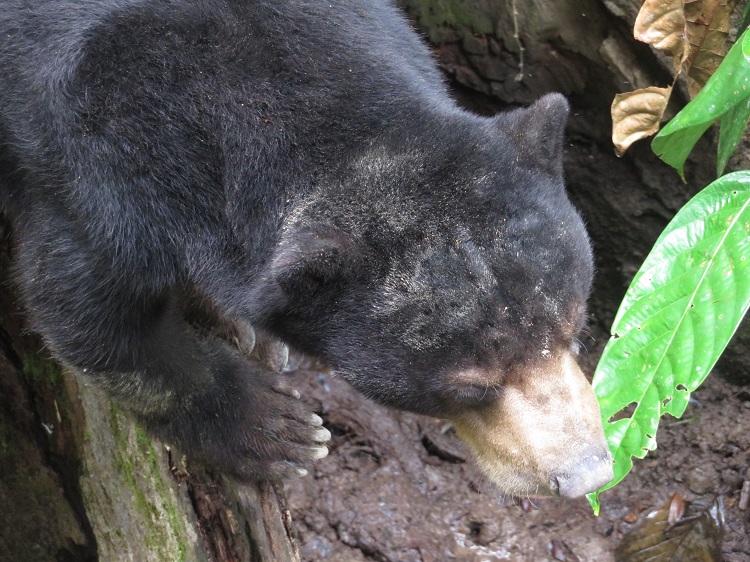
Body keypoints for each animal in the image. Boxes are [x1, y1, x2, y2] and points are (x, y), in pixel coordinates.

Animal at [0, 0, 613, 498]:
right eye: (471, 386)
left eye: (576, 330)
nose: (585, 476)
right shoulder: (99, 171)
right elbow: (91, 320)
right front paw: (278, 430)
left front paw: (249, 332)